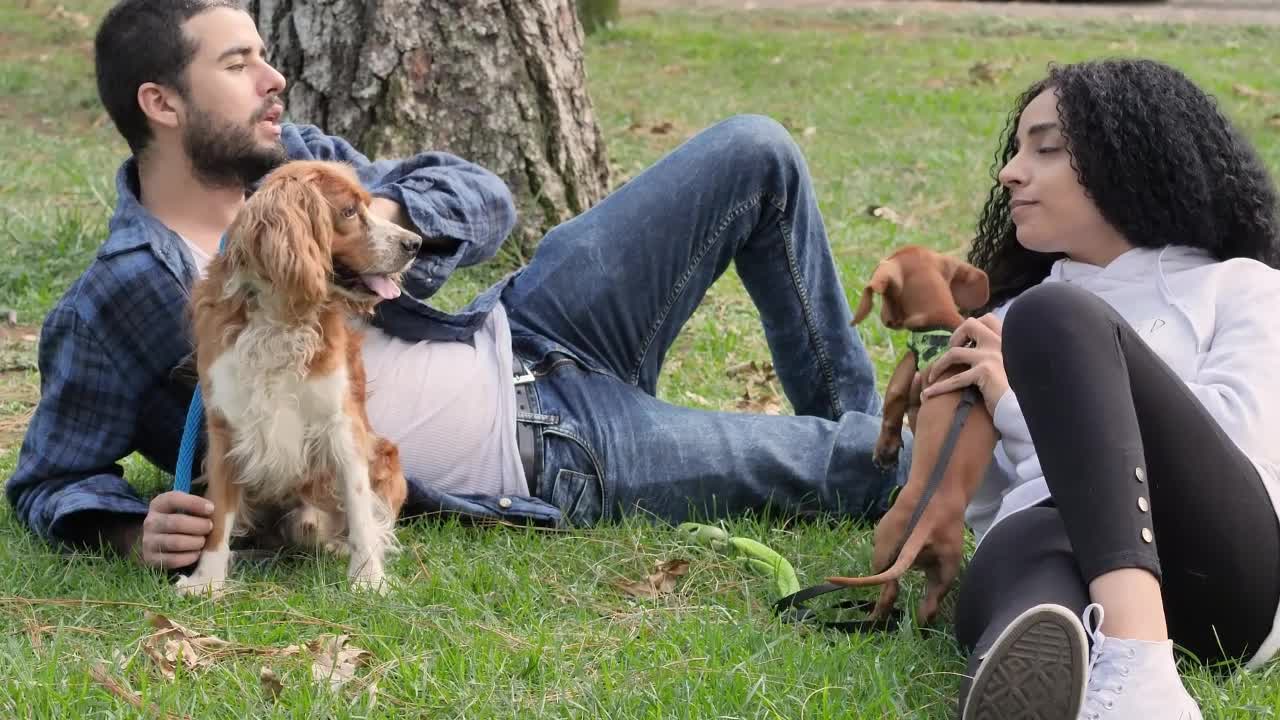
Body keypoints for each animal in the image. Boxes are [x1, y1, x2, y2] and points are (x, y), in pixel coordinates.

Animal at [829, 244, 998, 622]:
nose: (886, 320)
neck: (941, 321)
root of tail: (925, 523)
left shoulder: (902, 384)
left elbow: (891, 419)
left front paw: (884, 453)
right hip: (945, 568)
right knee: (927, 604)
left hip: (884, 544)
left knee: (888, 589)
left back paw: (874, 619)